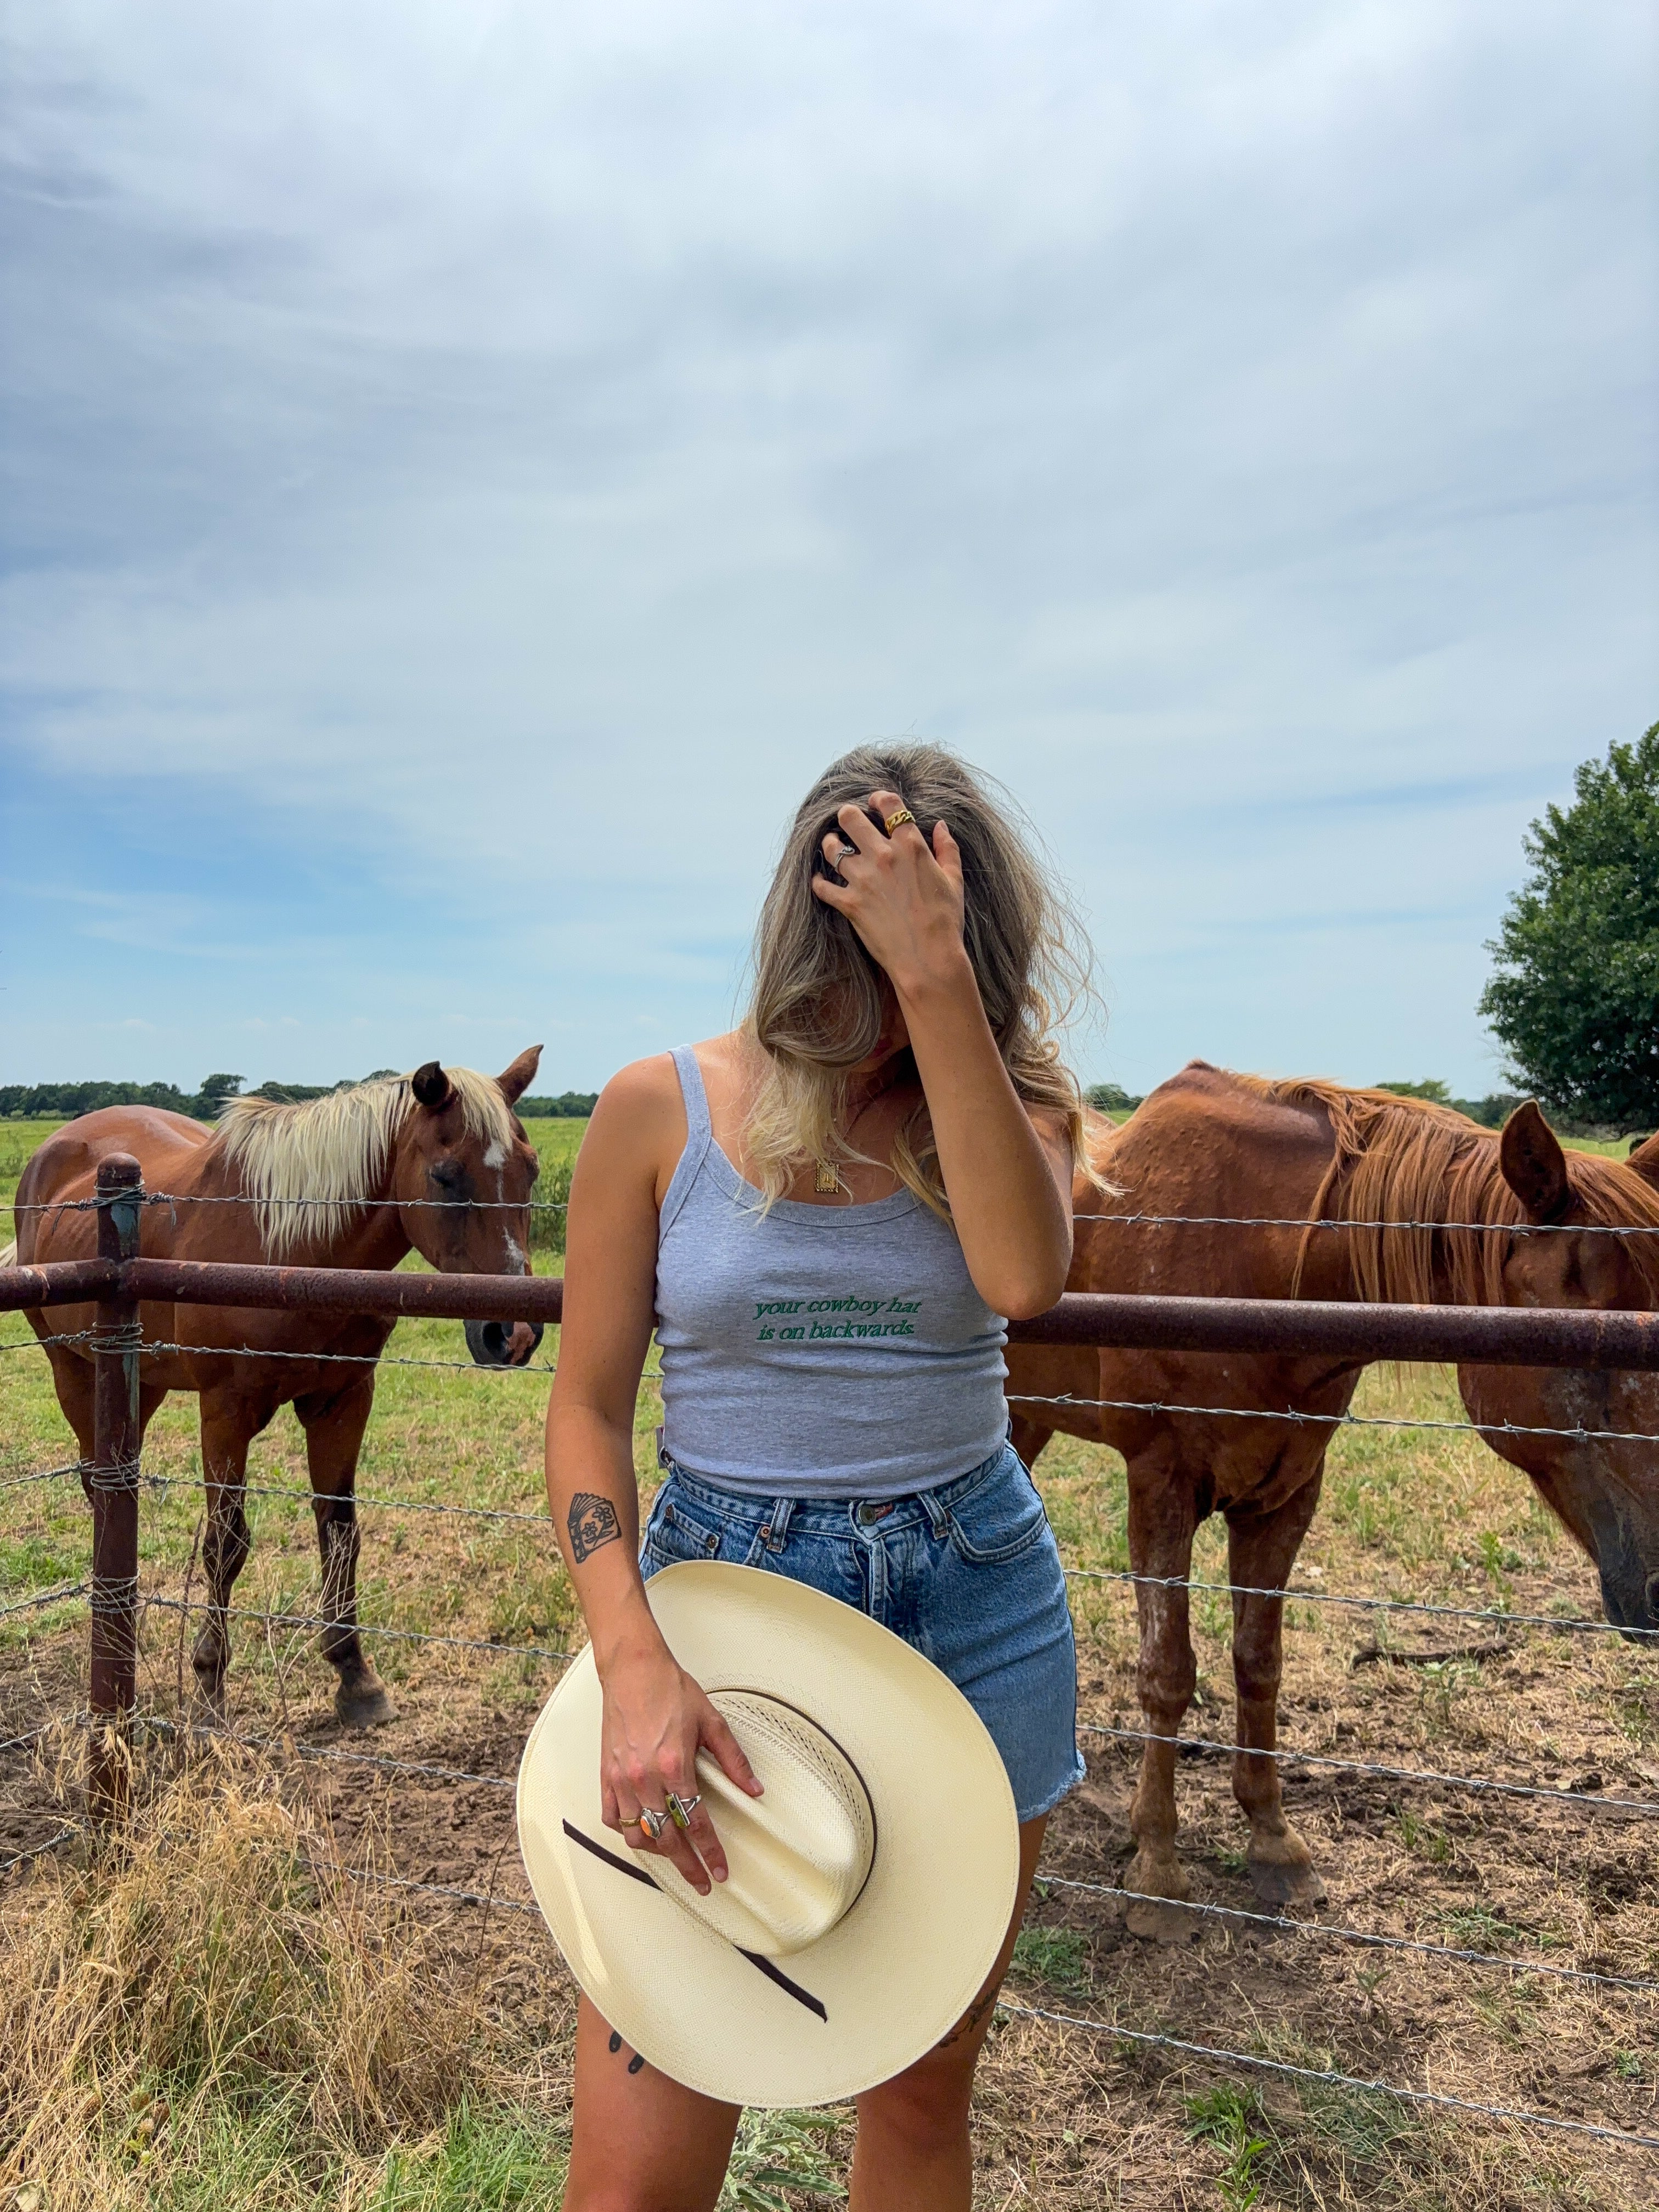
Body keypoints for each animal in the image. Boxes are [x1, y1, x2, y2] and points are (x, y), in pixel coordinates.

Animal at [14, 1048, 546, 1725]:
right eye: (446, 1176)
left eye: (531, 1171)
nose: (515, 1334)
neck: (294, 1253)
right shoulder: (225, 1411)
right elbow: (226, 1543)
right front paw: (209, 1685)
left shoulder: (343, 1400)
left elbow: (339, 1531)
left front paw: (355, 1677)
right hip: (72, 1368)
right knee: (97, 1482)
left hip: (141, 1381)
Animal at [1000, 1066, 1659, 1938]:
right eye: (1588, 1351)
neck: (1257, 1262)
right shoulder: (1160, 1484)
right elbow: (1168, 1673)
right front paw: (1159, 1873)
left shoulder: (1286, 1494)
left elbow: (1259, 1665)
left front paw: (1275, 1845)